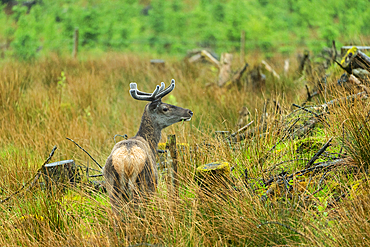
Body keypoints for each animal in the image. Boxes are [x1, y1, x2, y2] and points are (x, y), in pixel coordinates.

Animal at [102, 79, 192, 214]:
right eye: (165, 108)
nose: (189, 112)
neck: (151, 143)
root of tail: (127, 162)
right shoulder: (154, 184)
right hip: (143, 184)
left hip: (112, 188)